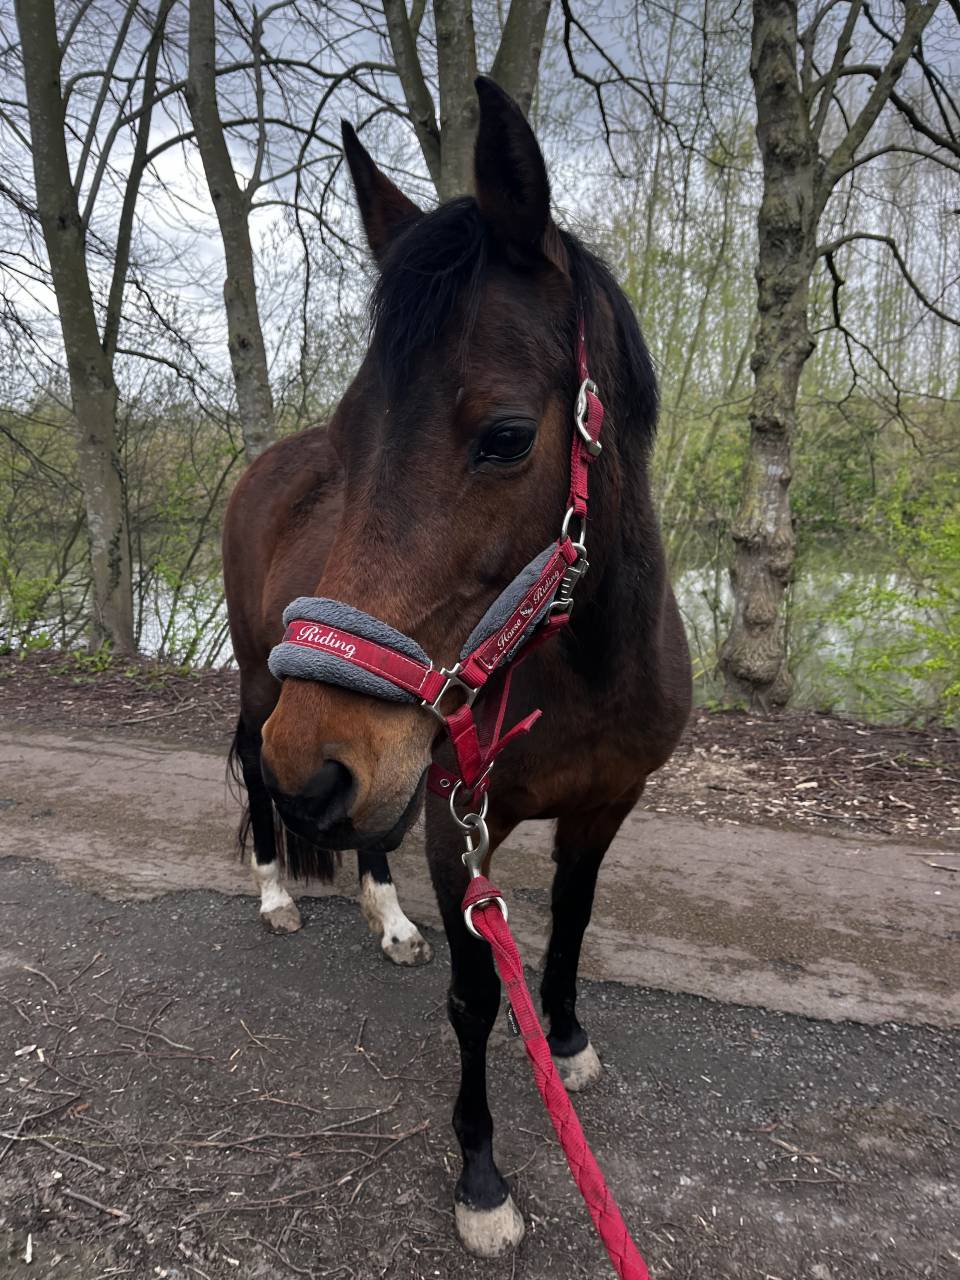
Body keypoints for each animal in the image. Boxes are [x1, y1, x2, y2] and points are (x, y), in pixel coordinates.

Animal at [222, 76, 691, 1259]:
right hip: (269, 691)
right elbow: (477, 998)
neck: (578, 672)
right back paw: (275, 892)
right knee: (255, 771)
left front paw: (564, 1036)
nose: (320, 761)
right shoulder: (453, 816)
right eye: (353, 438)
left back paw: (387, 921)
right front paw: (483, 1179)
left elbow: (570, 922)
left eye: (508, 435)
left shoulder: (606, 802)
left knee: (350, 829)